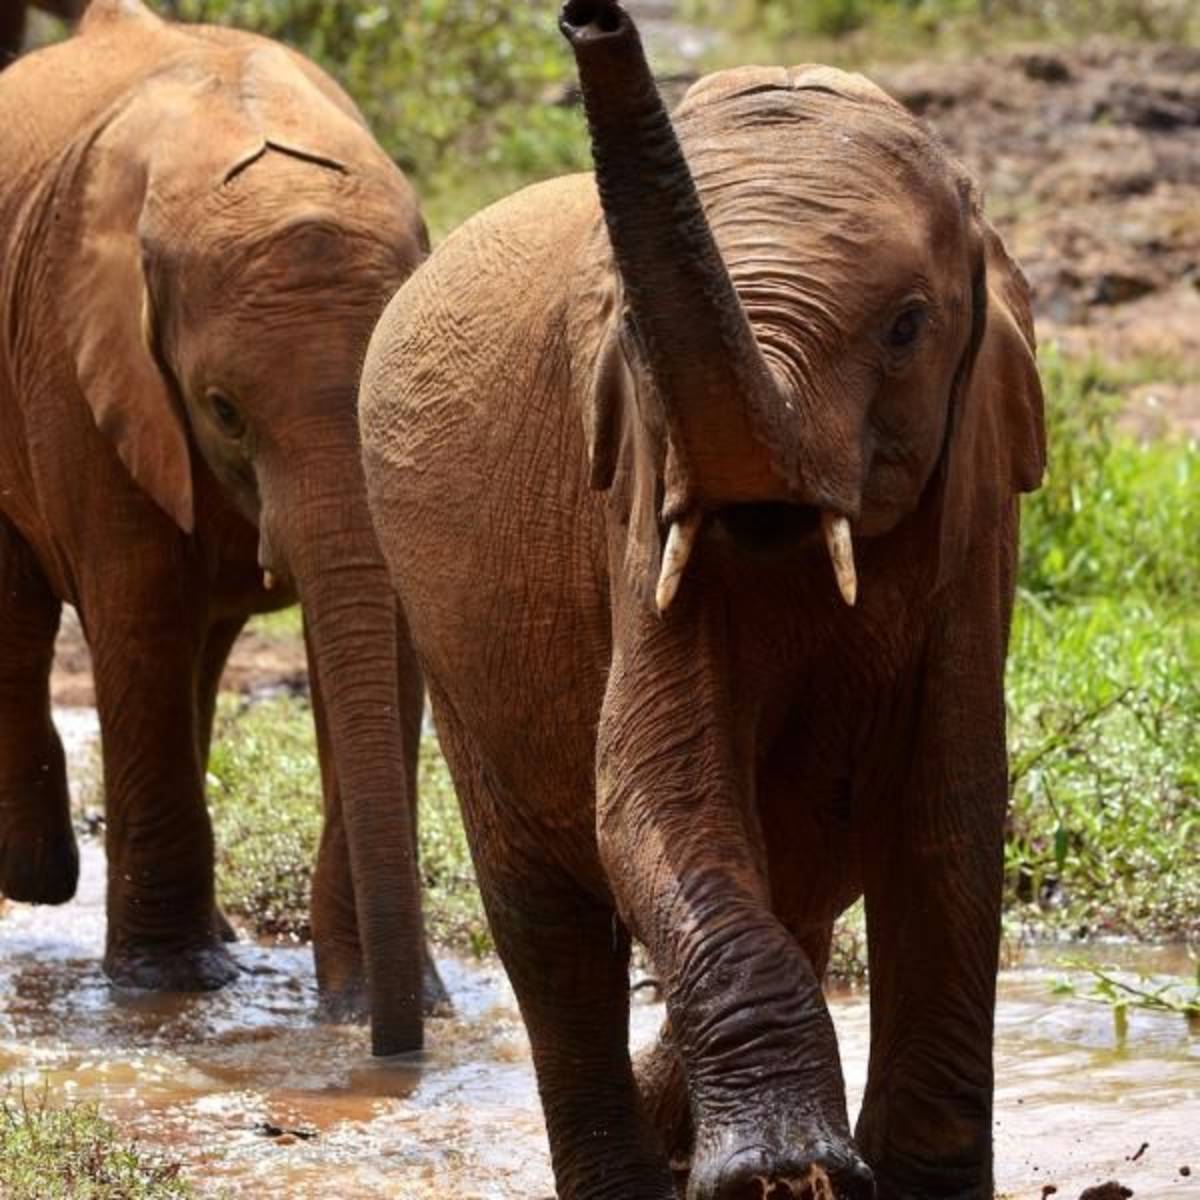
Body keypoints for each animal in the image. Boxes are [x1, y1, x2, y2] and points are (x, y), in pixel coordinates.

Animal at [0, 0, 438, 1055]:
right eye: (224, 409)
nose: (397, 1050)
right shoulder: (81, 362)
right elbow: (141, 614)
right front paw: (168, 990)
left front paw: (370, 997)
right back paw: (41, 878)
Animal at [361, 0, 1045, 1194]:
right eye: (631, 331)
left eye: (908, 326)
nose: (591, 18)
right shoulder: (638, 484)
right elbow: (653, 790)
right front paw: (781, 1172)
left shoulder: (974, 506)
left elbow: (952, 808)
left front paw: (892, 1177)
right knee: (550, 934)